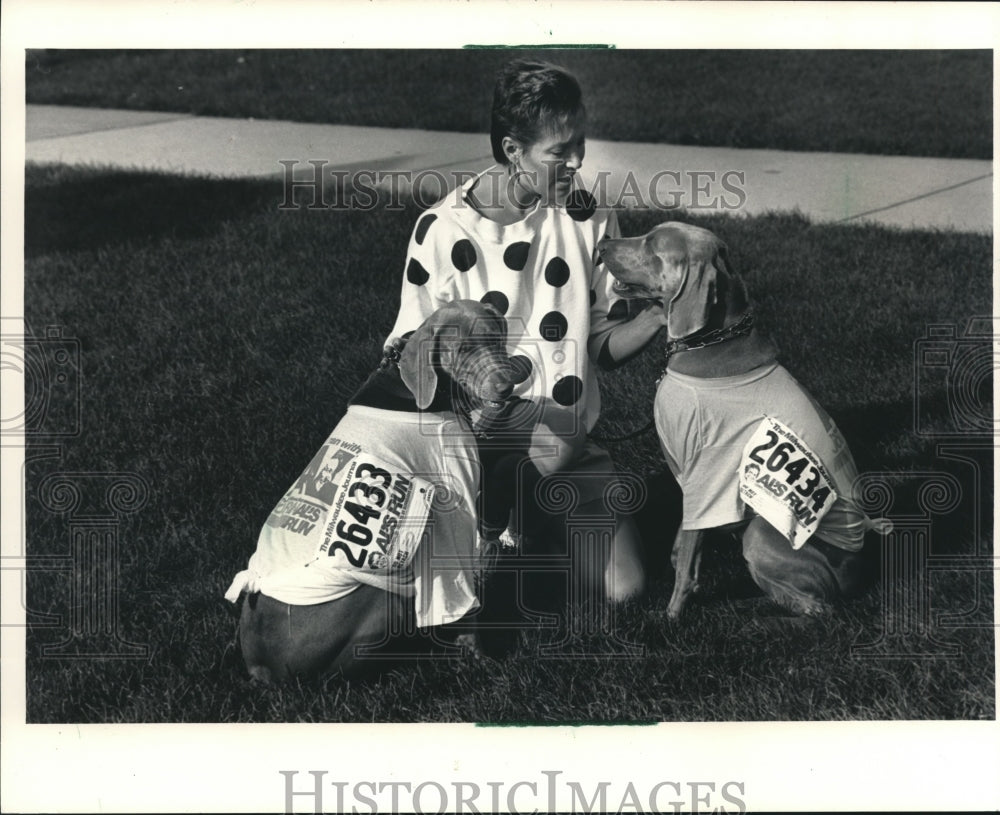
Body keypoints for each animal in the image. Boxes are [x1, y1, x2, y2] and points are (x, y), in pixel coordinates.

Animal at [596, 223, 880, 620]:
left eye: (653, 244)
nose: (601, 244)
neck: (711, 342)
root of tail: (860, 573)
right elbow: (687, 538)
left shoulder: (704, 470)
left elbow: (686, 563)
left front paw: (671, 616)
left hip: (762, 535)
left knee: (817, 607)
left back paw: (756, 607)